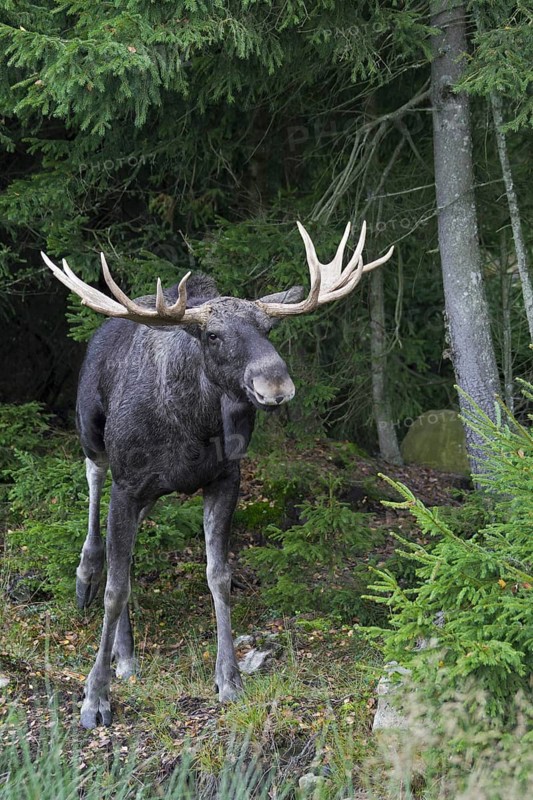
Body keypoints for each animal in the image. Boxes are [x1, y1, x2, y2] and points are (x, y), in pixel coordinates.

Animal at [42, 221, 393, 728]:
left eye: (268, 329)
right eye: (211, 335)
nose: (276, 384)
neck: (193, 425)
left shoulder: (226, 479)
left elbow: (218, 576)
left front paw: (229, 679)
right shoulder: (128, 484)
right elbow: (115, 588)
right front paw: (95, 697)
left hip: (149, 492)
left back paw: (126, 654)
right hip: (90, 428)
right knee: (94, 487)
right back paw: (86, 576)